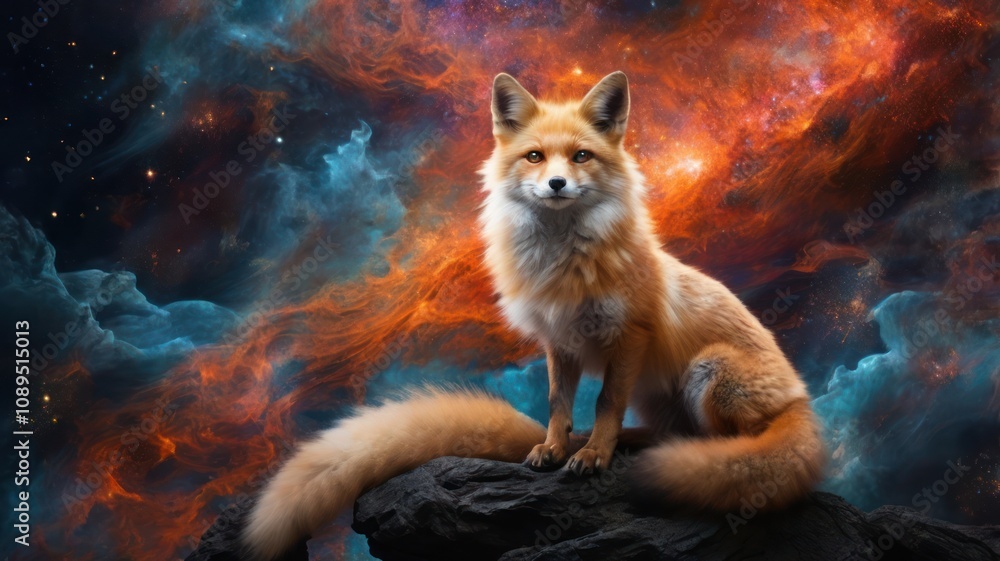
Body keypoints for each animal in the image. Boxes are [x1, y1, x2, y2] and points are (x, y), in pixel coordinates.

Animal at [242, 71, 826, 560]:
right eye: (535, 157)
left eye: (582, 156)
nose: (557, 185)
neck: (563, 263)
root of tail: (800, 399)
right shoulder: (559, 340)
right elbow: (557, 404)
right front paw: (556, 447)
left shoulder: (628, 334)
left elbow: (604, 401)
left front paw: (592, 455)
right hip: (661, 392)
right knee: (671, 434)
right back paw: (635, 443)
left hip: (710, 372)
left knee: (725, 446)